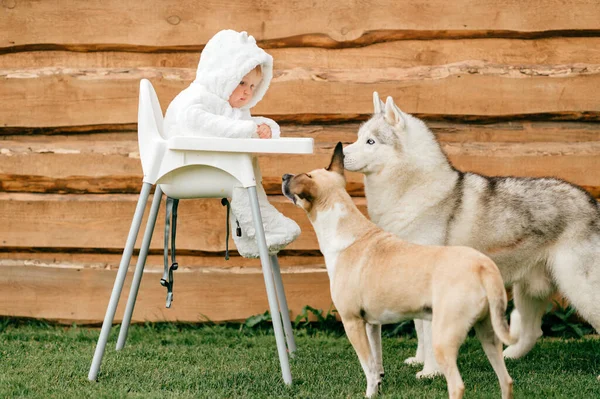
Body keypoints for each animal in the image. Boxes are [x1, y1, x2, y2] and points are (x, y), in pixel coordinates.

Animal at [284, 142, 516, 398]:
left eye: (300, 177)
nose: (284, 176)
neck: (346, 231)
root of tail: (482, 266)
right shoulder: (372, 325)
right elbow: (376, 363)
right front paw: (377, 387)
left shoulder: (352, 322)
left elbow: (367, 366)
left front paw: (369, 393)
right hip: (489, 333)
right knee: (506, 380)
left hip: (444, 337)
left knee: (457, 385)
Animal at [342, 92, 600, 380]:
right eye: (358, 137)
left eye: (371, 141)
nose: (340, 152)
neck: (411, 191)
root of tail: (591, 201)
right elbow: (420, 330)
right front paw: (420, 360)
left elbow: (429, 335)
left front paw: (430, 372)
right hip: (529, 288)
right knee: (533, 332)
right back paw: (508, 357)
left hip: (580, 289)